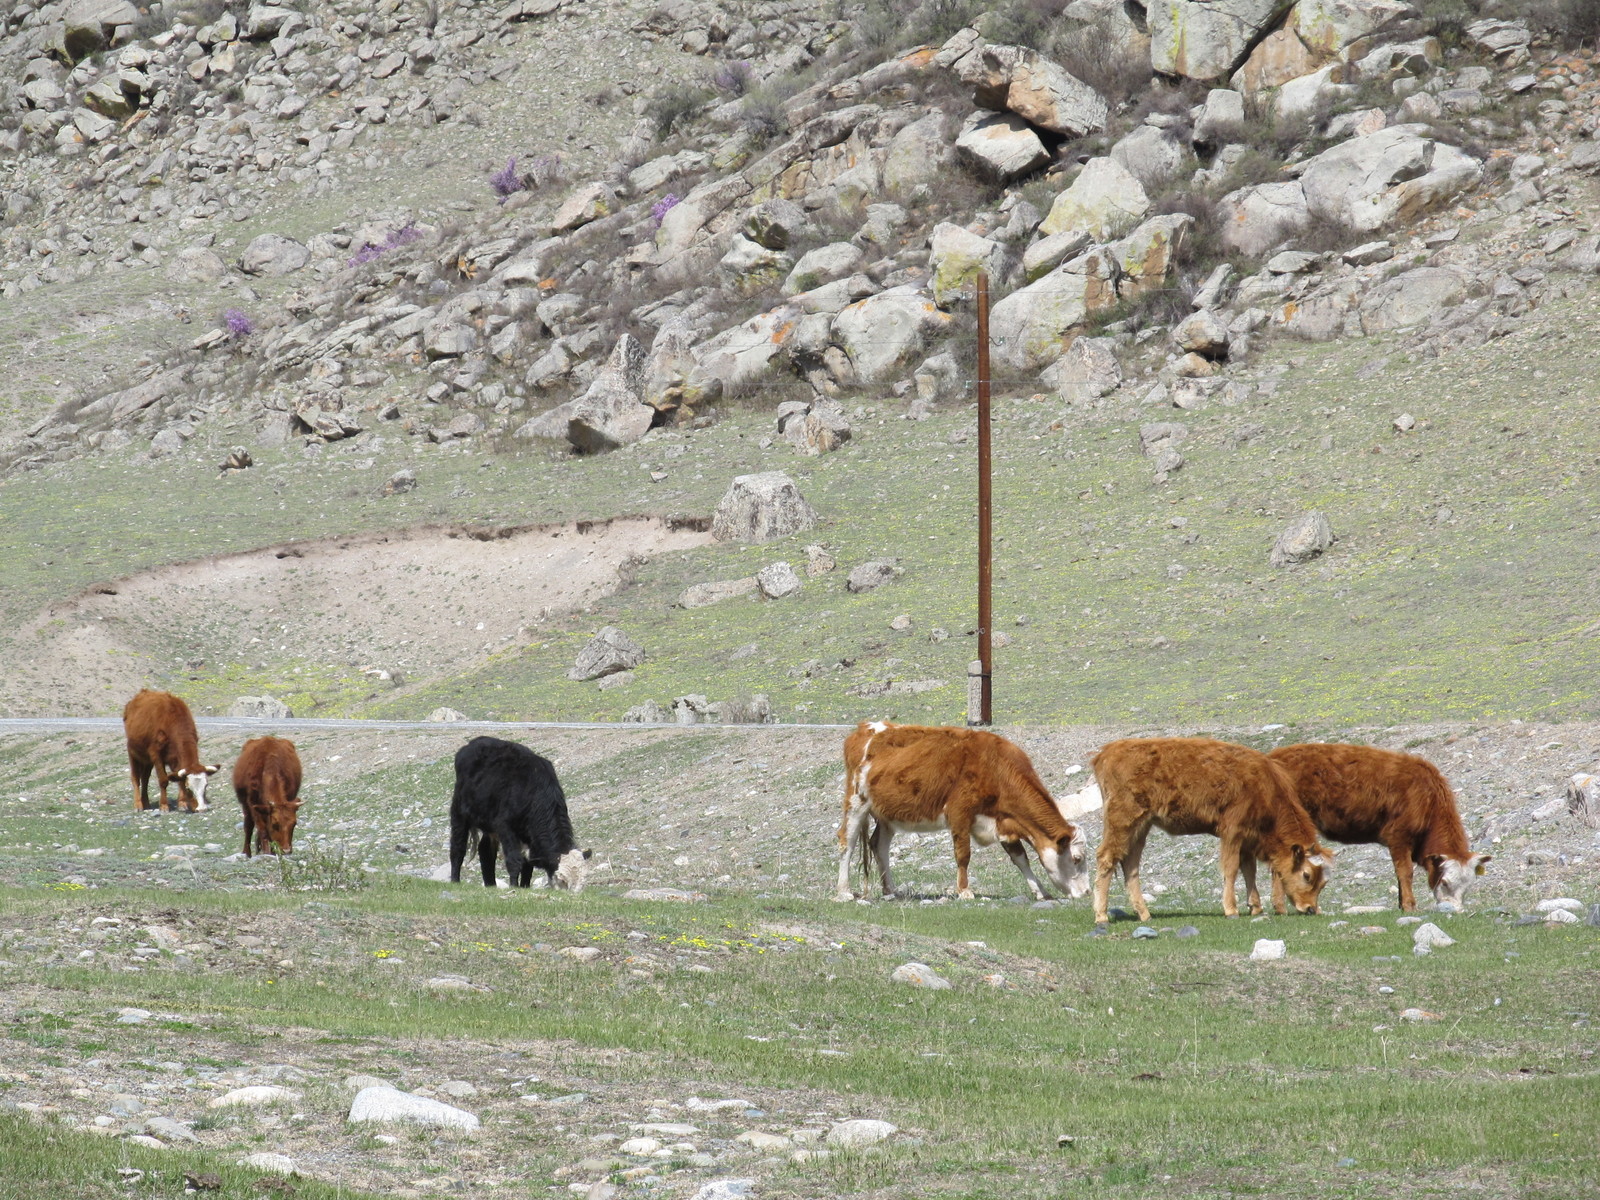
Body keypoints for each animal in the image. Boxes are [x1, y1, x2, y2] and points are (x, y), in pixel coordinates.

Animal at [121, 684, 220, 819]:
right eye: (189, 789)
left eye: (206, 786)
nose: (202, 809)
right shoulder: (156, 755)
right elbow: (164, 780)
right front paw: (164, 806)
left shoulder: (175, 757)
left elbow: (178, 778)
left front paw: (182, 803)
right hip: (133, 752)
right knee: (135, 778)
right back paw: (138, 805)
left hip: (147, 760)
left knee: (145, 778)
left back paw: (146, 803)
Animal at [451, 732, 595, 896]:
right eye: (562, 880)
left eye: (583, 881)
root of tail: (472, 744)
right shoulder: (505, 827)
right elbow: (514, 860)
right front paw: (514, 886)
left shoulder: (530, 837)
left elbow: (528, 865)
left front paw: (525, 887)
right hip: (459, 811)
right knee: (458, 846)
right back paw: (455, 880)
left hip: (489, 825)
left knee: (485, 850)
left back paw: (491, 884)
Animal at [838, 723, 1088, 902]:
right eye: (1077, 859)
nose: (1086, 892)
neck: (995, 767)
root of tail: (864, 728)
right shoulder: (960, 813)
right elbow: (963, 854)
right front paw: (964, 891)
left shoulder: (1003, 822)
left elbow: (1021, 859)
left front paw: (1040, 891)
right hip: (856, 801)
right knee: (847, 842)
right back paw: (844, 891)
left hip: (886, 814)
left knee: (879, 845)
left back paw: (891, 890)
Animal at [1094, 739, 1331, 928]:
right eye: (1307, 875)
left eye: (1324, 883)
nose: (1310, 908)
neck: (1265, 787)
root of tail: (1107, 752)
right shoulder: (1232, 832)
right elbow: (1231, 869)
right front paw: (1231, 910)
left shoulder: (1248, 838)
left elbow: (1249, 870)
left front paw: (1255, 907)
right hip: (1123, 821)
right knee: (1106, 858)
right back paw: (1101, 917)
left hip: (1141, 827)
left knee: (1130, 865)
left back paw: (1145, 914)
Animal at [1267, 742, 1491, 908]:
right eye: (1444, 882)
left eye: (1468, 886)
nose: (1454, 909)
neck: (1429, 798)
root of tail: (1275, 755)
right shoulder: (1398, 836)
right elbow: (1405, 872)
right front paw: (1410, 906)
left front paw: (1402, 904)